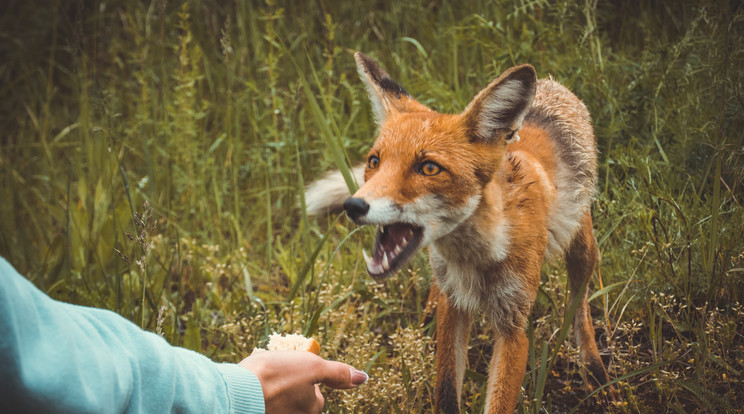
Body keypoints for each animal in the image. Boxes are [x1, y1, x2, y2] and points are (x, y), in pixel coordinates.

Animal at [306, 52, 612, 414]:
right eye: (374, 162)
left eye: (429, 168)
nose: (353, 205)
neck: (475, 258)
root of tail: (553, 86)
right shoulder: (452, 307)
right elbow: (446, 392)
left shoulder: (513, 326)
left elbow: (498, 400)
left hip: (582, 248)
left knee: (580, 305)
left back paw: (595, 371)